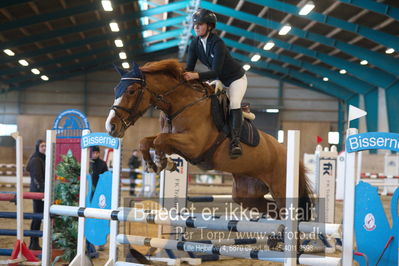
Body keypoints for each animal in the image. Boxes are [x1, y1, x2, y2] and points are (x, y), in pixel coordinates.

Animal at [108, 58, 314, 218]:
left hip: (281, 188)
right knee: (274, 211)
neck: (181, 104)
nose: (111, 127)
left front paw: (163, 162)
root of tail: (287, 152)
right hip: (246, 193)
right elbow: (146, 141)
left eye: (131, 91)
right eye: (116, 89)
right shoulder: (175, 142)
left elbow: (159, 140)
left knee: (288, 212)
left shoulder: (193, 145)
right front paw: (155, 164)